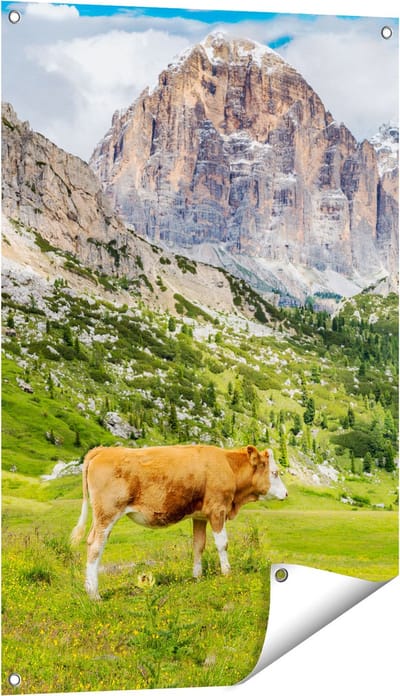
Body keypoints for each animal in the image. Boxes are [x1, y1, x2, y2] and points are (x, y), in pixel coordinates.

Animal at [70, 444, 288, 599]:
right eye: (275, 472)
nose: (286, 493)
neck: (228, 466)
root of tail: (103, 450)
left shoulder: (200, 515)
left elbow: (199, 545)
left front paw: (197, 576)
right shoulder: (217, 510)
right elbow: (222, 544)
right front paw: (227, 573)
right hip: (107, 513)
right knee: (96, 546)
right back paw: (94, 594)